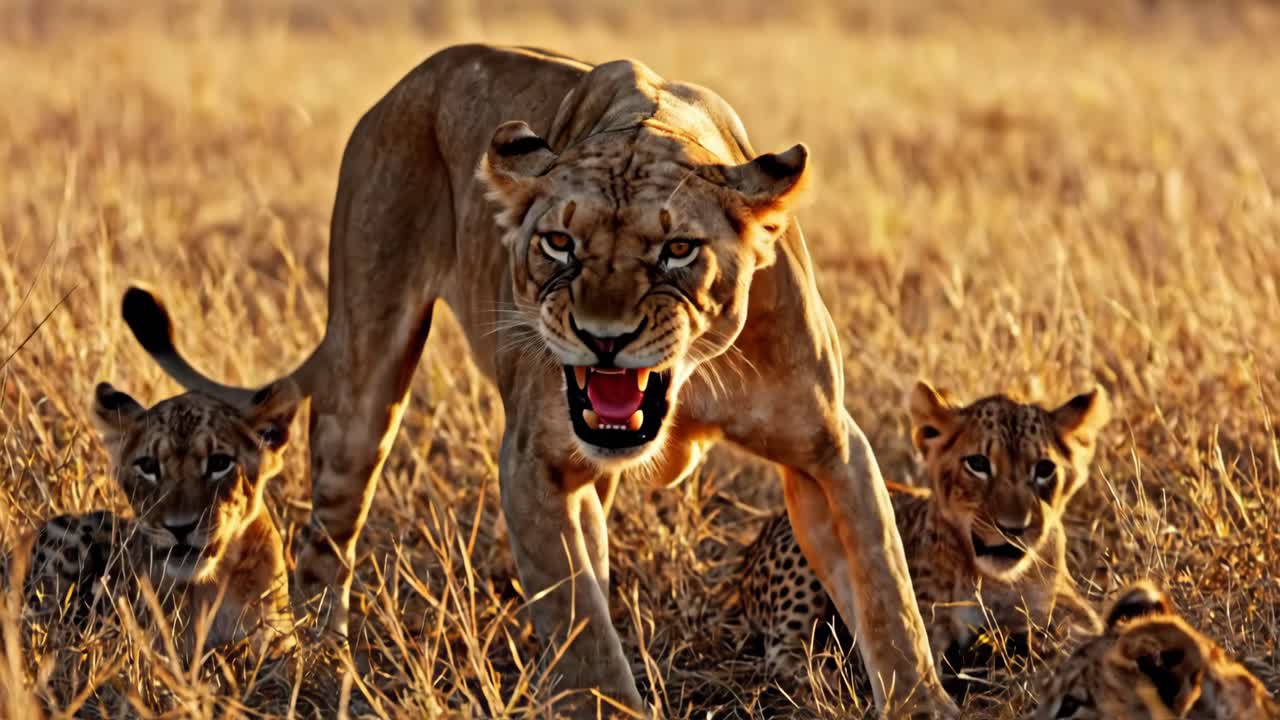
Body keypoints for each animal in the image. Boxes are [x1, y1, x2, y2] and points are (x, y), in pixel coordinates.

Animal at [121, 44, 955, 716]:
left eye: (678, 250)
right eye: (559, 242)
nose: (603, 339)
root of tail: (406, 84)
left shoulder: (829, 447)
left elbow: (886, 589)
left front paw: (921, 701)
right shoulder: (532, 464)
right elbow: (581, 628)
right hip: (364, 368)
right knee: (326, 534)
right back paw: (315, 661)